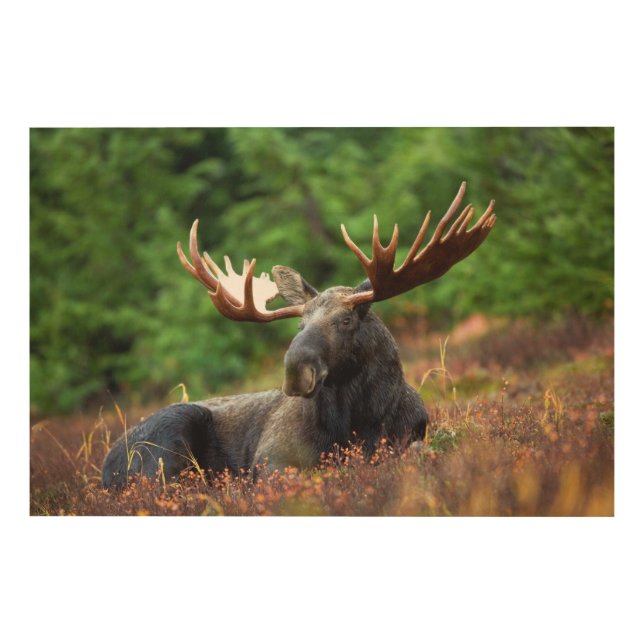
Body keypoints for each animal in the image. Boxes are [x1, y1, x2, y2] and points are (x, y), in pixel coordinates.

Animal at [102, 182, 496, 488]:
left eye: (346, 320)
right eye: (299, 325)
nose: (295, 371)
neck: (359, 422)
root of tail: (106, 468)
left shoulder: (411, 437)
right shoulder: (270, 459)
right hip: (169, 437)